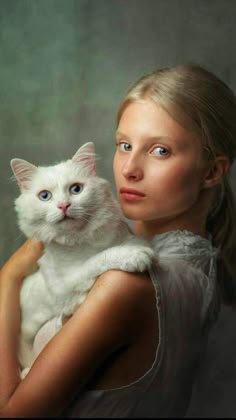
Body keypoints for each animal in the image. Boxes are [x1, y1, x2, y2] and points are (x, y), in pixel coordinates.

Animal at [10, 142, 155, 378]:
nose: (63, 206)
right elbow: (99, 258)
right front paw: (136, 255)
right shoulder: (64, 287)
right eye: (45, 196)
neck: (82, 241)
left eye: (76, 189)